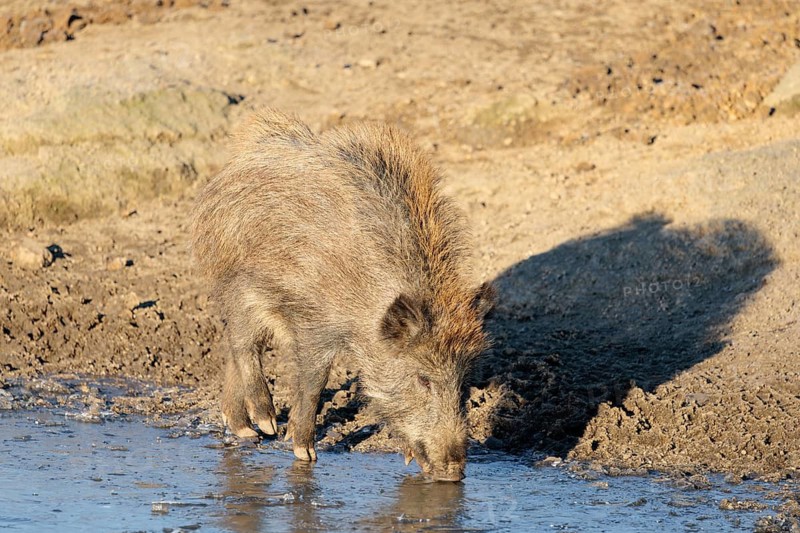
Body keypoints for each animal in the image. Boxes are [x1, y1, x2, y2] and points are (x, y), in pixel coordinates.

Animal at [191, 109, 494, 481]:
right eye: (423, 379)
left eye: (464, 382)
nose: (454, 473)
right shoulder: (314, 323)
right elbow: (313, 382)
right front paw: (303, 452)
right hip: (238, 283)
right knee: (242, 343)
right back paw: (265, 424)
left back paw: (246, 431)